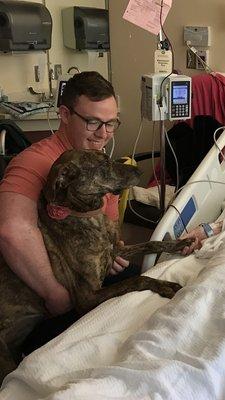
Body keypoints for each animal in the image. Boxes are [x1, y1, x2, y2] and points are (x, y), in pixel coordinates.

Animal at [0, 149, 192, 382]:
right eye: (103, 164)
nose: (139, 170)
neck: (87, 216)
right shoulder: (87, 298)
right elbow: (137, 279)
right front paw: (165, 285)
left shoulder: (116, 251)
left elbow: (151, 243)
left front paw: (179, 243)